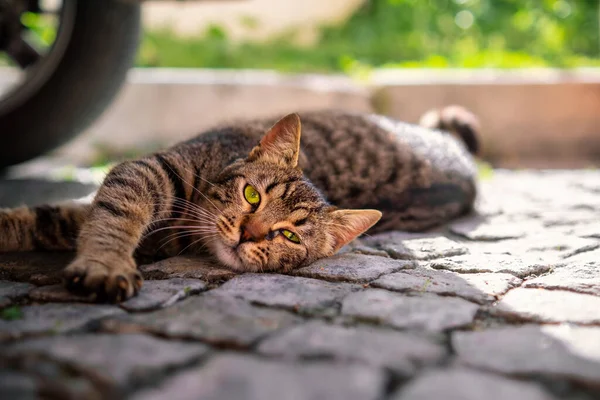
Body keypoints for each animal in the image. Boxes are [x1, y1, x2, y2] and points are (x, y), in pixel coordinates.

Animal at [0, 106, 478, 300]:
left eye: (289, 236)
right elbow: (108, 218)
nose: (249, 233)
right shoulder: (143, 171)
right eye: (252, 195)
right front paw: (105, 264)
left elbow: (57, 220)